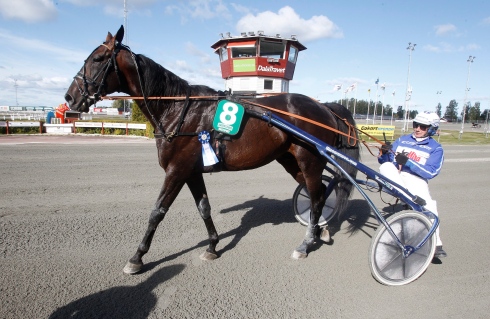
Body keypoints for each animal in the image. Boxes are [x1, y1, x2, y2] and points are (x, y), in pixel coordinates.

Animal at [64, 25, 360, 276]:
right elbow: (204, 207)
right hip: (290, 160)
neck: (178, 110)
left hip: (309, 159)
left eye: (98, 59)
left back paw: (306, 243)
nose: (70, 97)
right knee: (318, 193)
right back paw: (321, 230)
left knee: (317, 196)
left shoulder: (176, 170)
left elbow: (157, 211)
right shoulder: (192, 171)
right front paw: (212, 246)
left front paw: (137, 257)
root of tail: (324, 106)